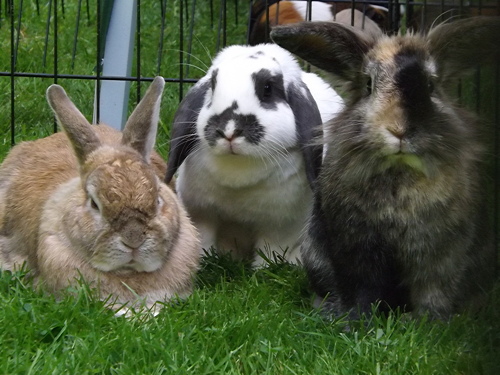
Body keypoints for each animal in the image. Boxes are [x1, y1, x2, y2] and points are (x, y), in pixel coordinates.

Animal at [164, 44, 344, 268]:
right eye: (212, 86)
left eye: (267, 88)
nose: (229, 131)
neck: (238, 171)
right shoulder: (203, 214)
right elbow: (204, 237)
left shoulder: (281, 226)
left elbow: (271, 249)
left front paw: (263, 269)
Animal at [272, 17, 500, 322]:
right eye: (369, 85)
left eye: (430, 85)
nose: (399, 130)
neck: (399, 173)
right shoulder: (356, 249)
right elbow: (362, 289)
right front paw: (355, 321)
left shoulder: (442, 254)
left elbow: (434, 290)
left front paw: (427, 322)